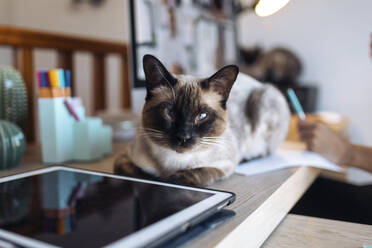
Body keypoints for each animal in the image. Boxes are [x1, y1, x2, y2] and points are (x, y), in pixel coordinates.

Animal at [114, 54, 290, 186]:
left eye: (202, 116)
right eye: (169, 112)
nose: (183, 137)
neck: (174, 163)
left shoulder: (226, 164)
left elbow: (197, 173)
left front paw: (173, 179)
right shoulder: (124, 160)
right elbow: (141, 175)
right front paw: (158, 180)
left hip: (264, 98)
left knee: (265, 150)